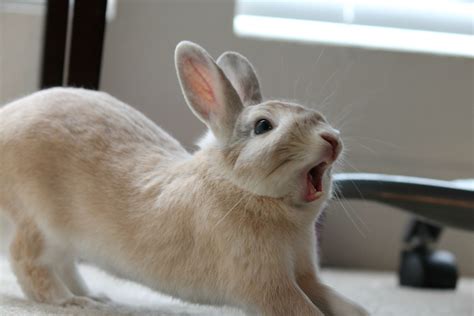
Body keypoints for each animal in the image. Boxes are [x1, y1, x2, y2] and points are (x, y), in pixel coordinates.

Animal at [0, 42, 366, 316]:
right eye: (263, 126)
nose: (332, 139)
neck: (241, 187)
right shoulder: (267, 284)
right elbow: (302, 308)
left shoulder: (304, 274)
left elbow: (330, 297)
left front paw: (359, 311)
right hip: (35, 221)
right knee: (27, 262)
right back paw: (72, 301)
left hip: (64, 240)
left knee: (62, 264)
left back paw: (95, 296)